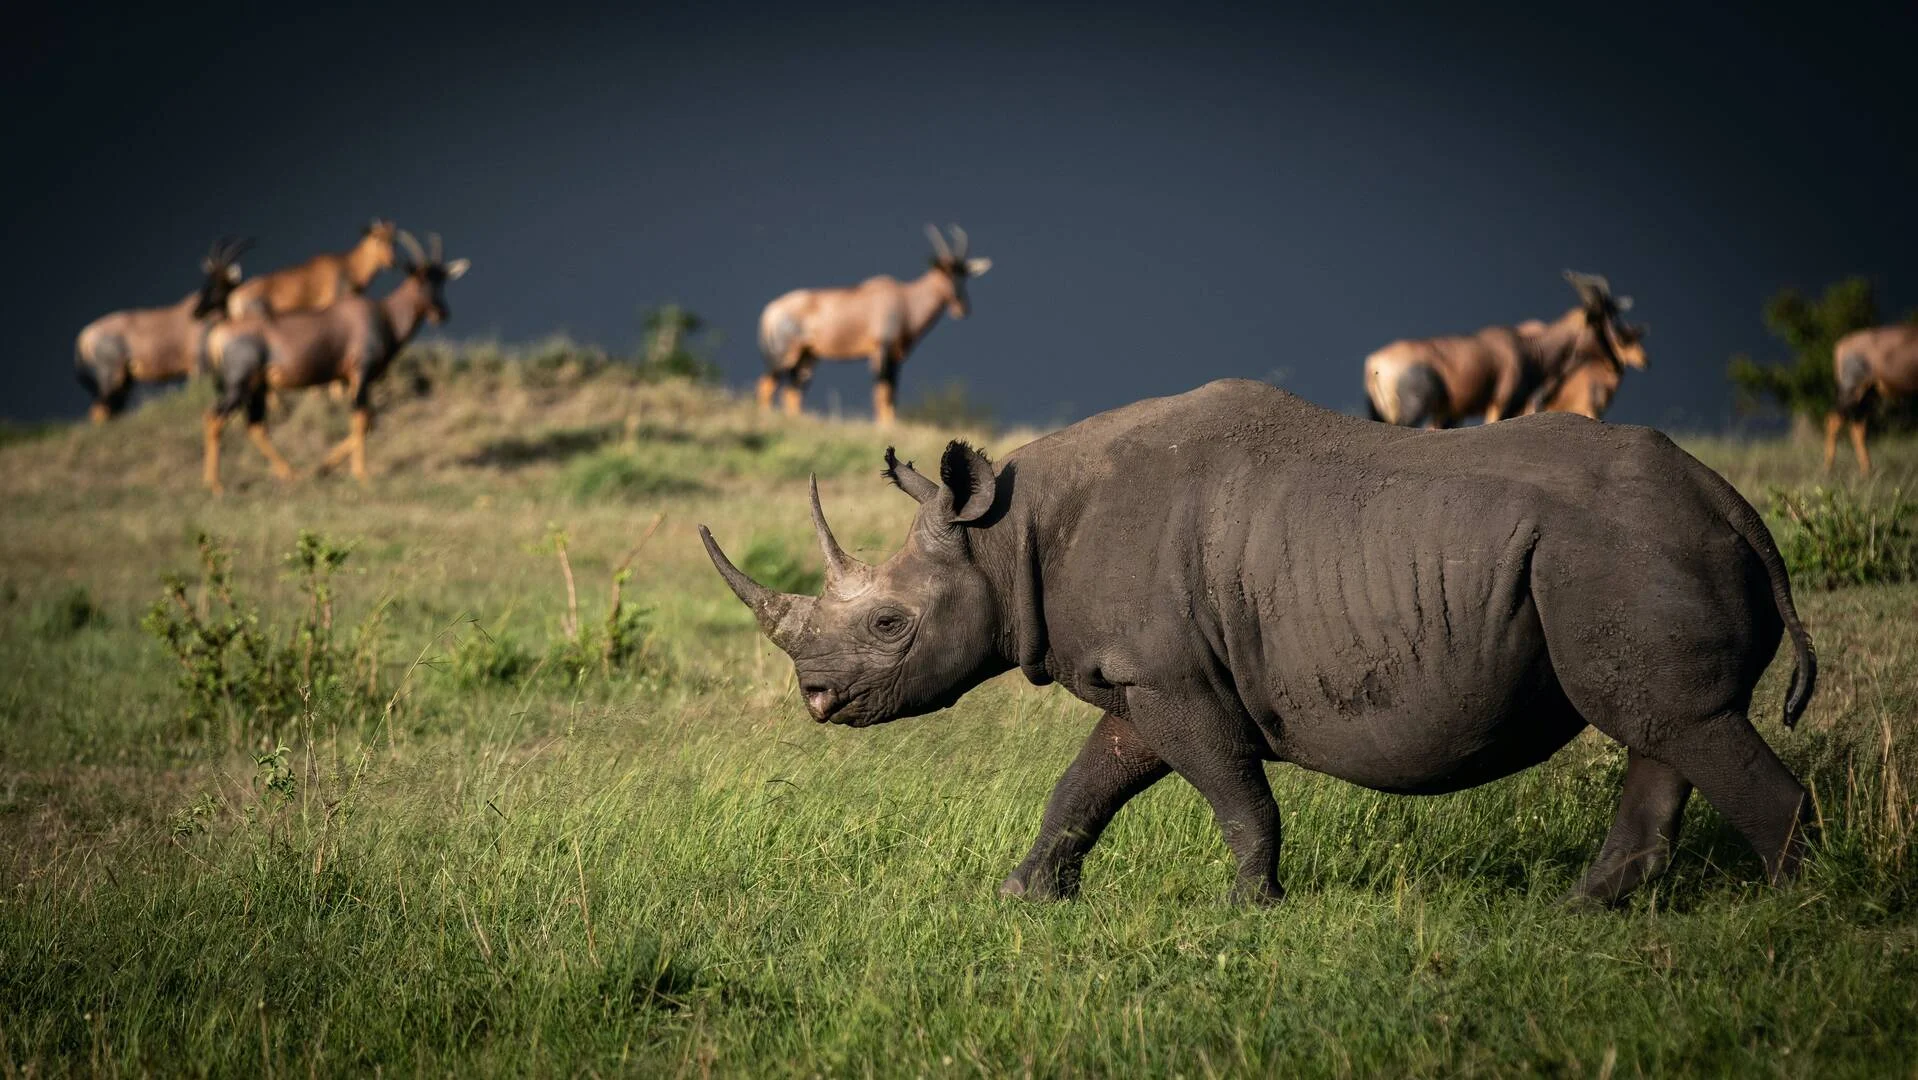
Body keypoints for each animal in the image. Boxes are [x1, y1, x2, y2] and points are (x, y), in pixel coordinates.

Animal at [700, 380, 1816, 906]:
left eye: (890, 625)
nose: (815, 698)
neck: (1008, 532)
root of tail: (1735, 507)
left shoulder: (1175, 679)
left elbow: (1236, 796)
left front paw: (1251, 907)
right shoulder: (1144, 677)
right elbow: (1085, 785)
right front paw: (1024, 896)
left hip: (1620, 552)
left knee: (1677, 723)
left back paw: (1789, 919)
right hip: (1627, 555)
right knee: (1666, 725)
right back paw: (1583, 912)